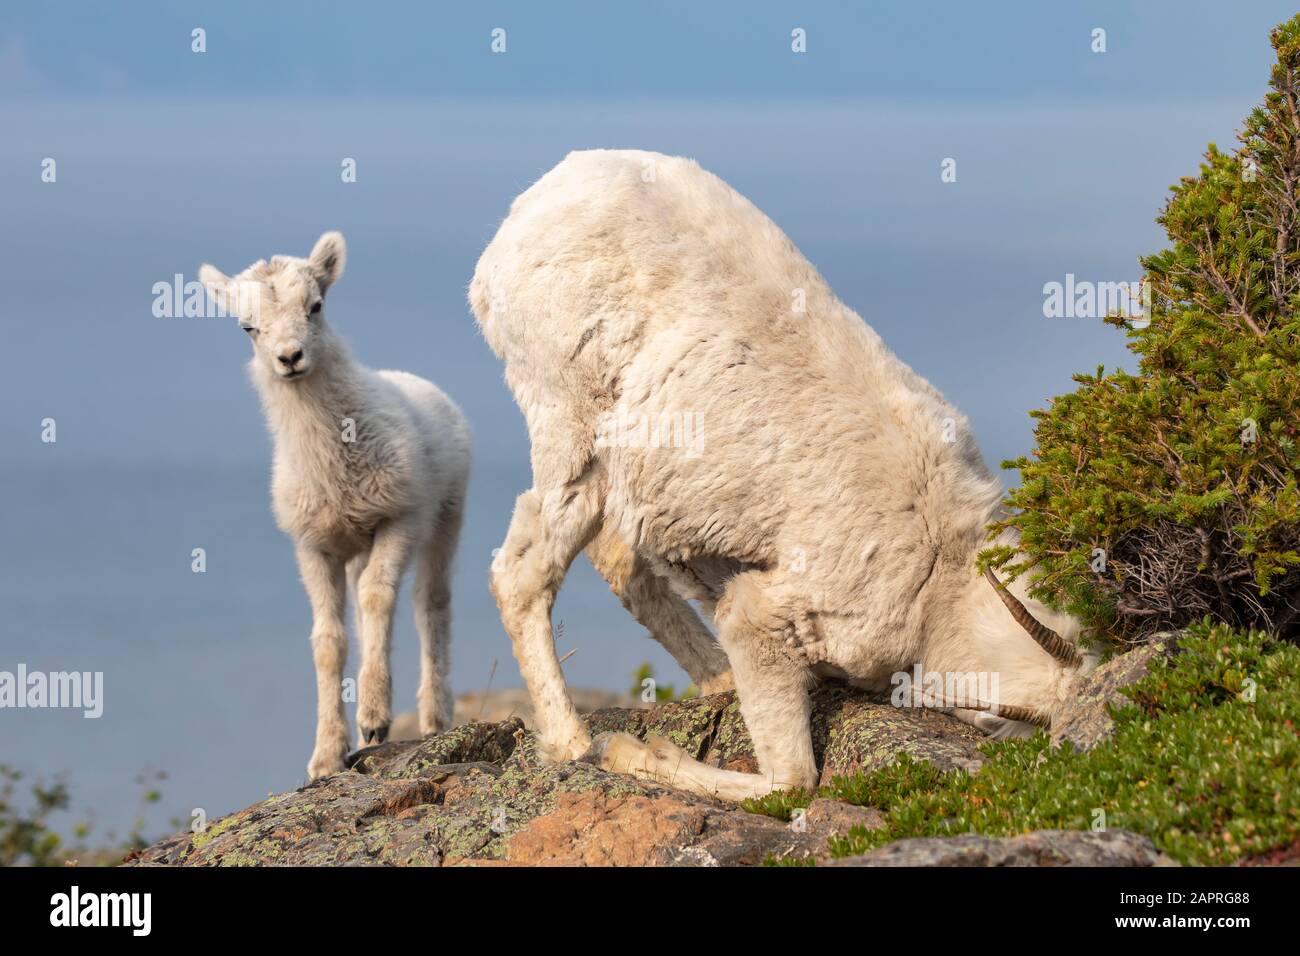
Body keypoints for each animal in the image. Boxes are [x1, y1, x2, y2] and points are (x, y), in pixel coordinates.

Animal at [200, 234, 470, 785]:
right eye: (247, 326)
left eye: (316, 306)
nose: (290, 357)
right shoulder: (313, 545)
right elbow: (328, 641)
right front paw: (327, 755)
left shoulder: (399, 517)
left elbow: (378, 600)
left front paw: (374, 716)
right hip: (355, 547)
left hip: (446, 514)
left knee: (429, 605)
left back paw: (433, 716)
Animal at [473, 149, 1092, 801]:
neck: (940, 575)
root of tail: (530, 208)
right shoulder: (767, 618)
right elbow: (793, 783)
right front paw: (629, 753)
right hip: (571, 432)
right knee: (523, 576)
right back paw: (573, 743)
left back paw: (718, 683)